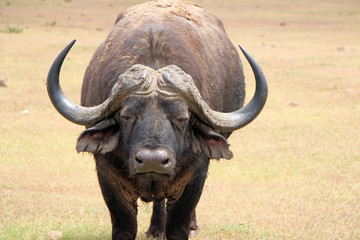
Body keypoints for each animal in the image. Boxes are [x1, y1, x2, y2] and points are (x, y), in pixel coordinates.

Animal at [45, 0, 268, 239]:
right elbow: (124, 227)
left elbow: (178, 226)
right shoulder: (108, 177)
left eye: (181, 118)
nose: (152, 160)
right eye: (126, 116)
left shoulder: (194, 177)